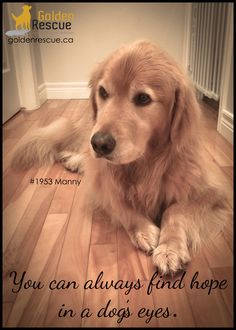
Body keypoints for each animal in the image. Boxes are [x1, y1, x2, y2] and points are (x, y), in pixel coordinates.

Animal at [11, 40, 229, 274]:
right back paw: (74, 159)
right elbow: (122, 206)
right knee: (85, 155)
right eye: (103, 92)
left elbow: (175, 210)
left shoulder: (213, 192)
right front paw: (144, 230)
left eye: (143, 98)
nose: (99, 143)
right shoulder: (102, 188)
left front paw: (170, 248)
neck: (146, 163)